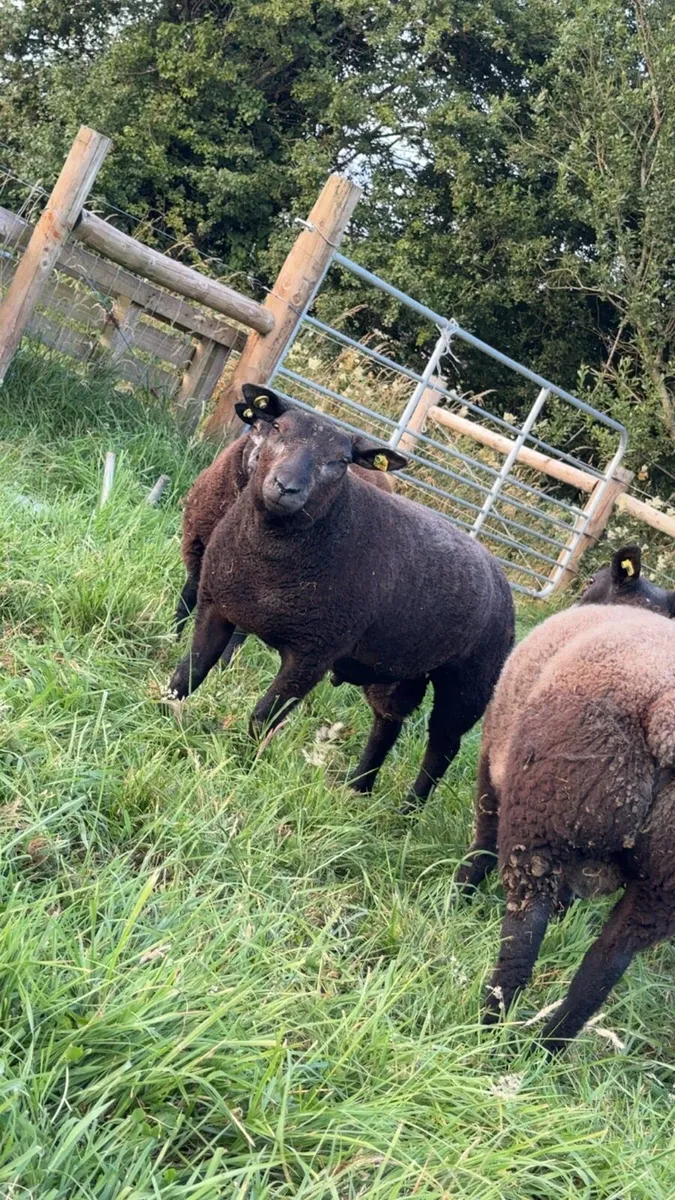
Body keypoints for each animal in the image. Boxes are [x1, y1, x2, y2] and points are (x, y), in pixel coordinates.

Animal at [175, 386, 395, 667]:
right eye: (256, 426)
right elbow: (188, 596)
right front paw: (172, 636)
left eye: (341, 460)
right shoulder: (199, 547)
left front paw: (224, 665)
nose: (261, 460)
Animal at [457, 598, 675, 1055]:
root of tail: (666, 721)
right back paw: (548, 1049)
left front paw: (458, 894)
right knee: (603, 969)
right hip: (662, 891)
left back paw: (488, 1030)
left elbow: (482, 842)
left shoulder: (490, 761)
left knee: (522, 941)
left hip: (540, 822)